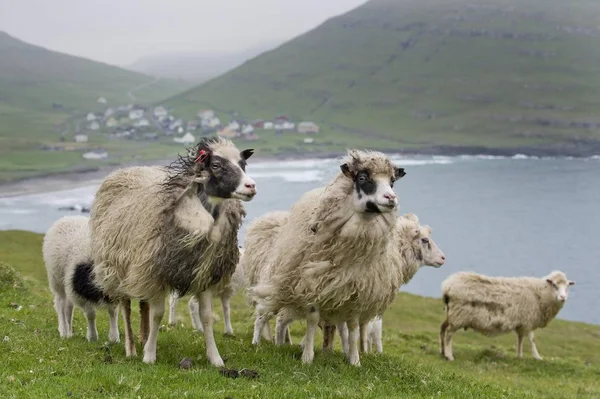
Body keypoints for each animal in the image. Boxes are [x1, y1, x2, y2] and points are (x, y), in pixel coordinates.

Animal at [42, 216, 119, 344]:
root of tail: (68, 217)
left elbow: (113, 312)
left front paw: (114, 337)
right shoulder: (81, 294)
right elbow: (91, 314)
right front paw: (92, 337)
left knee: (68, 307)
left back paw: (69, 332)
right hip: (57, 278)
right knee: (61, 304)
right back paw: (64, 331)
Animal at [89, 137, 255, 366]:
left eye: (243, 164)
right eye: (216, 165)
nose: (251, 186)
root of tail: (126, 169)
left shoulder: (204, 274)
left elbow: (206, 316)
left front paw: (215, 358)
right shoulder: (157, 274)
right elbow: (158, 314)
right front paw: (149, 356)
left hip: (140, 270)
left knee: (143, 304)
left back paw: (143, 338)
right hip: (117, 267)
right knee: (126, 307)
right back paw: (131, 348)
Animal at [246, 150, 406, 366]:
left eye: (392, 181)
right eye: (362, 178)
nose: (391, 198)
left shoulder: (356, 291)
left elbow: (353, 327)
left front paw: (354, 360)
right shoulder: (312, 284)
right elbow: (312, 320)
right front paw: (307, 357)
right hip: (281, 280)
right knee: (264, 312)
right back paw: (257, 342)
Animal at [290, 214, 446, 354]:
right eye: (425, 240)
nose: (443, 258)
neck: (398, 248)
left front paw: (330, 349)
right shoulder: (365, 294)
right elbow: (361, 326)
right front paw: (361, 351)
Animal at [438, 270, 576, 360]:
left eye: (567, 287)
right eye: (555, 285)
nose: (563, 297)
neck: (540, 293)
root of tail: (447, 286)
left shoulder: (522, 323)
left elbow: (520, 339)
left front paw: (519, 356)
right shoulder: (528, 321)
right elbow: (531, 339)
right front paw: (537, 357)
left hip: (450, 313)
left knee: (442, 329)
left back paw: (442, 351)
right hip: (458, 315)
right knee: (449, 333)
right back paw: (449, 355)